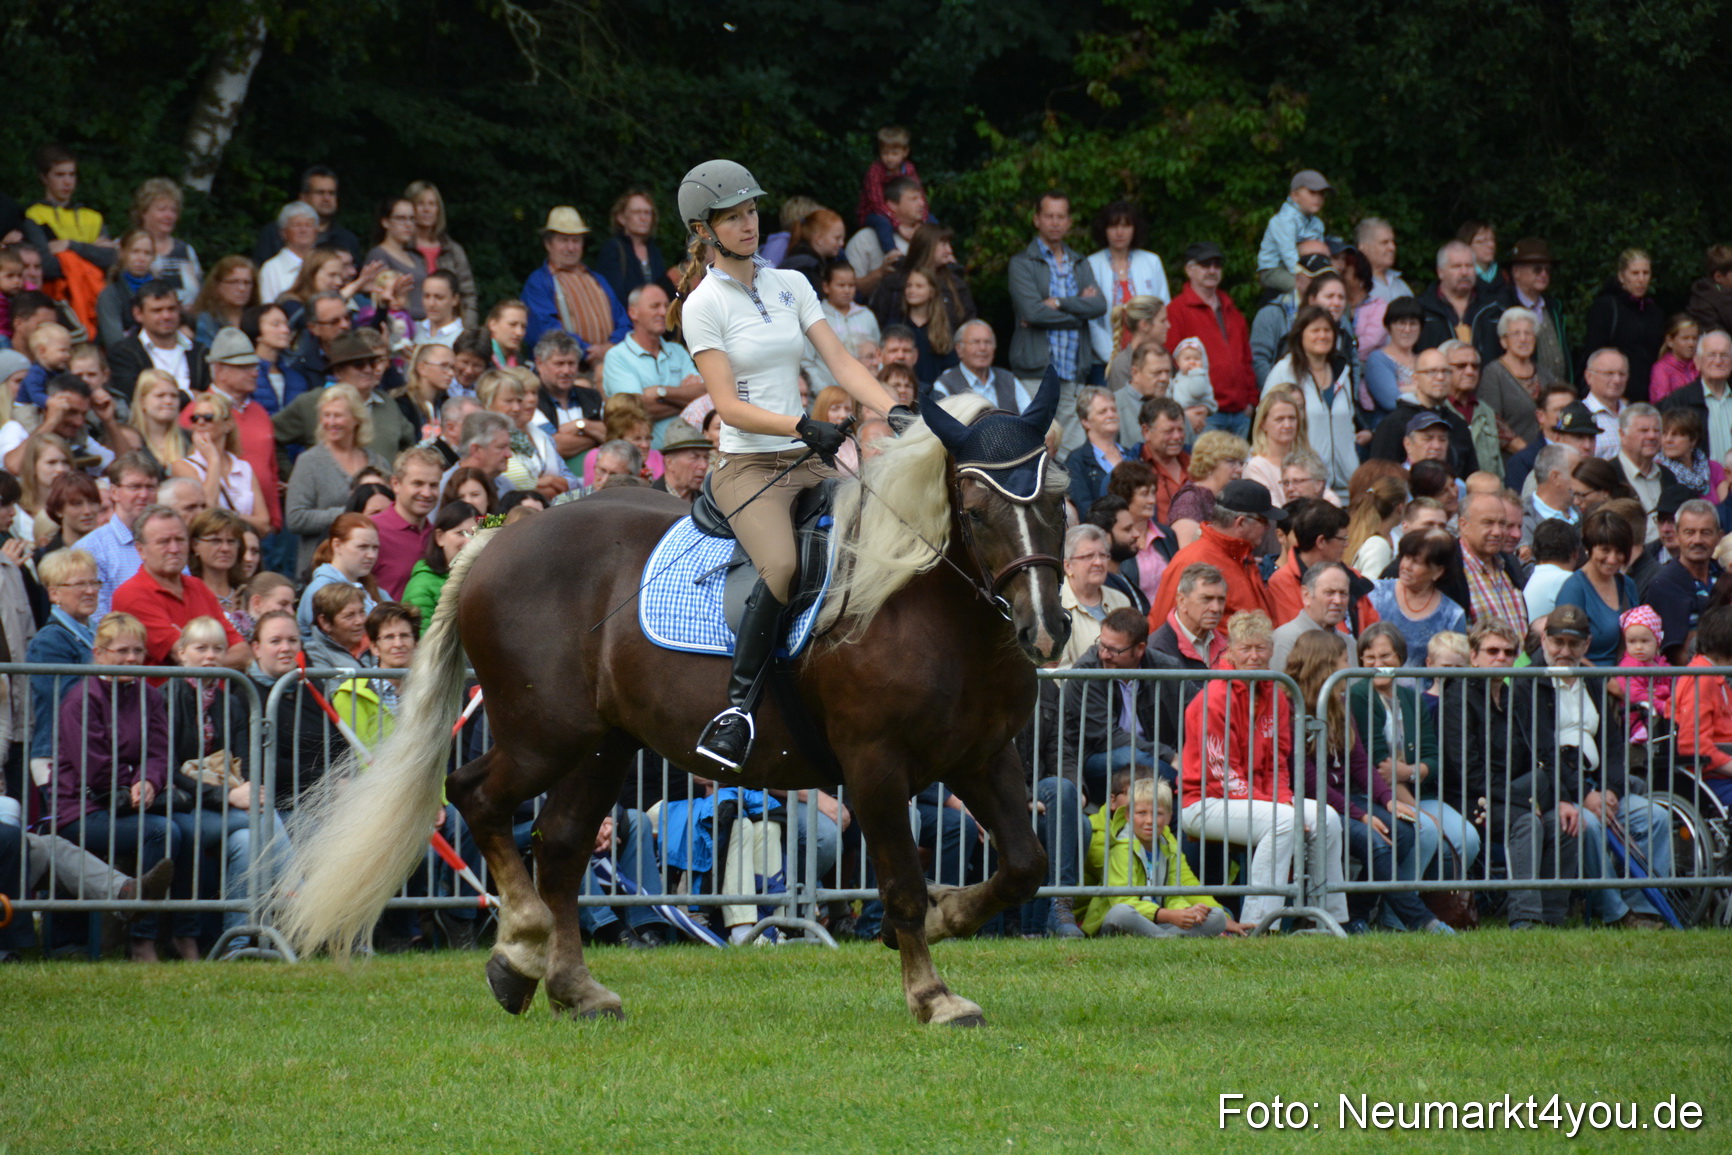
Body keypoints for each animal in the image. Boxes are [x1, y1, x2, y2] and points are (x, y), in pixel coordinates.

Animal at [272, 376, 1072, 1026]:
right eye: (976, 506)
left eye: (1058, 499)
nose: (1047, 629)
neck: (927, 604)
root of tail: (498, 541)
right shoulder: (874, 768)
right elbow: (903, 883)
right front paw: (933, 995)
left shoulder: (983, 755)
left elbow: (1024, 864)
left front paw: (944, 916)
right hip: (543, 735)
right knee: (476, 796)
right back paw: (520, 950)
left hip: (603, 743)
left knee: (560, 845)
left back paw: (572, 987)